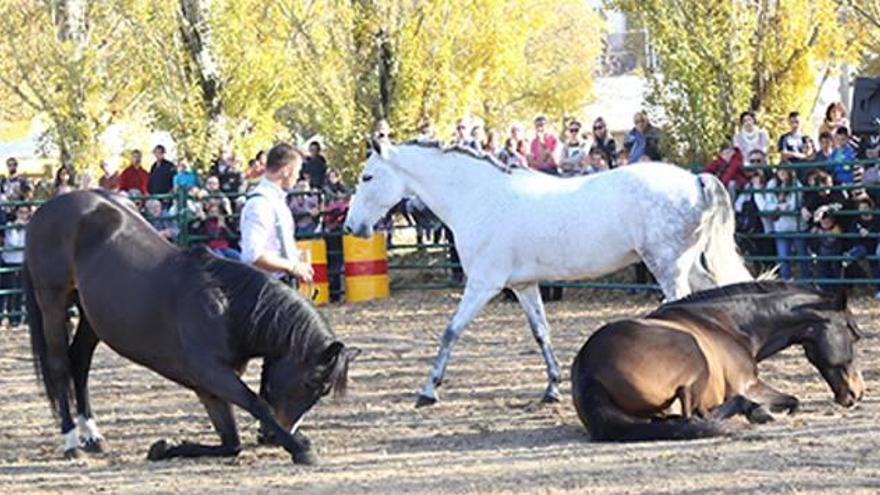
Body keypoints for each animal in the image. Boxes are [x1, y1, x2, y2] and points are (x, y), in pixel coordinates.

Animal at [26, 191, 358, 464]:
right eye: (313, 384)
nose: (271, 438)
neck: (225, 307)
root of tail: (50, 207)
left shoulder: (208, 387)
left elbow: (231, 443)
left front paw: (163, 448)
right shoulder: (212, 374)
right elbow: (256, 404)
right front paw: (300, 448)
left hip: (91, 316)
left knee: (79, 364)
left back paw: (93, 436)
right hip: (52, 302)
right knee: (60, 367)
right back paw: (72, 442)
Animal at [342, 140, 748, 406]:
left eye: (367, 177)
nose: (351, 227)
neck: (478, 197)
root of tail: (695, 180)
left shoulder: (483, 284)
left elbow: (450, 332)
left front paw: (429, 390)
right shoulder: (524, 286)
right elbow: (541, 333)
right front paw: (552, 388)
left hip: (667, 266)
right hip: (688, 264)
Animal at [572, 282, 868, 442]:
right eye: (854, 334)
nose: (858, 392)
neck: (728, 324)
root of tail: (589, 368)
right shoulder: (749, 384)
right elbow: (793, 400)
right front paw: (763, 410)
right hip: (693, 356)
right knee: (696, 416)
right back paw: (753, 411)